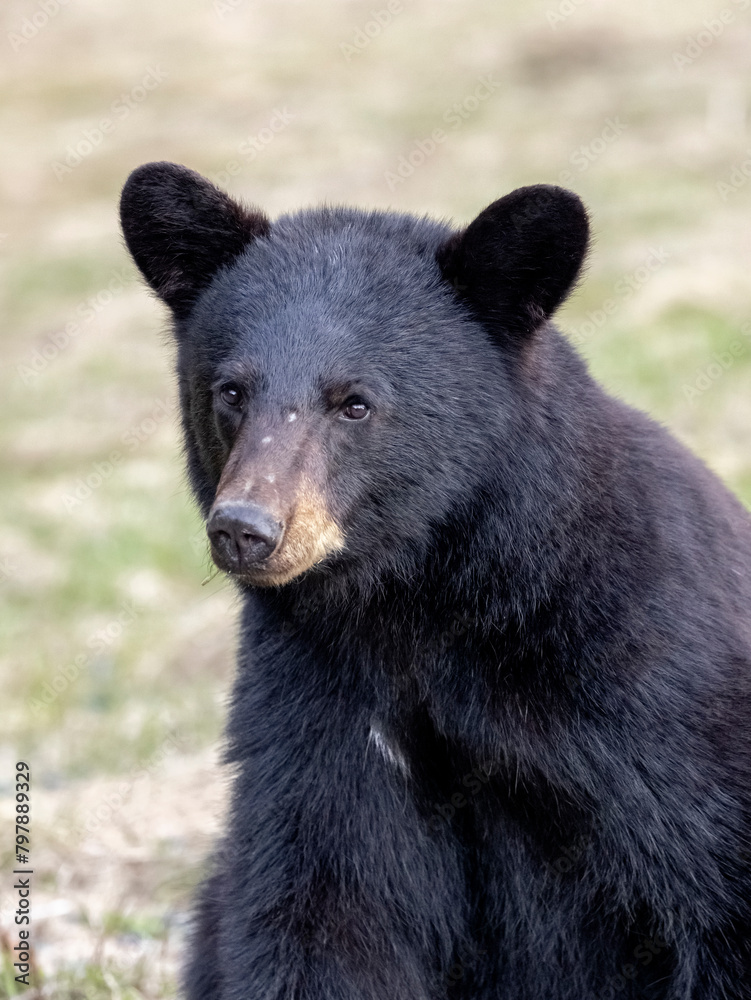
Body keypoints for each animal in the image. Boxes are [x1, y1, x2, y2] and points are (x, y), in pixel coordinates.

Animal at [120, 161, 751, 1000]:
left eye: (354, 402)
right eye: (230, 390)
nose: (245, 528)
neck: (426, 598)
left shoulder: (651, 683)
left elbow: (713, 880)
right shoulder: (322, 697)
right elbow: (321, 903)